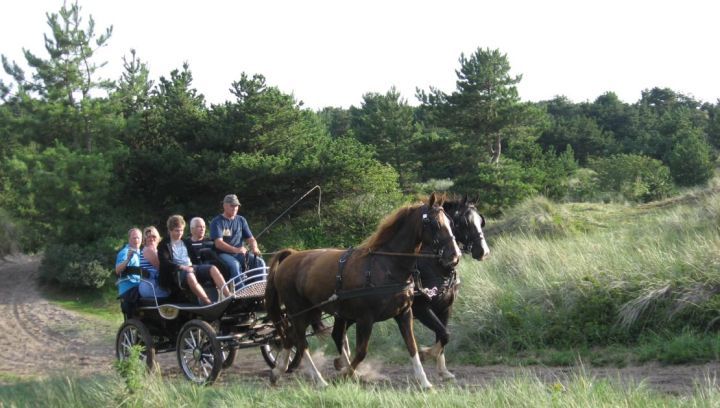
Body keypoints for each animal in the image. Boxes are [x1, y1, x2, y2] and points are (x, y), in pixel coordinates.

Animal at [266, 193, 462, 388]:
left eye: (451, 223)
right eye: (434, 223)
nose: (454, 255)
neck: (385, 266)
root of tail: (291, 256)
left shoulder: (405, 313)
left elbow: (412, 346)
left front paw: (424, 381)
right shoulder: (366, 318)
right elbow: (361, 352)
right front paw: (345, 374)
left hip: (315, 311)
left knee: (293, 337)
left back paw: (278, 371)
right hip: (299, 311)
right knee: (301, 341)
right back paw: (319, 379)